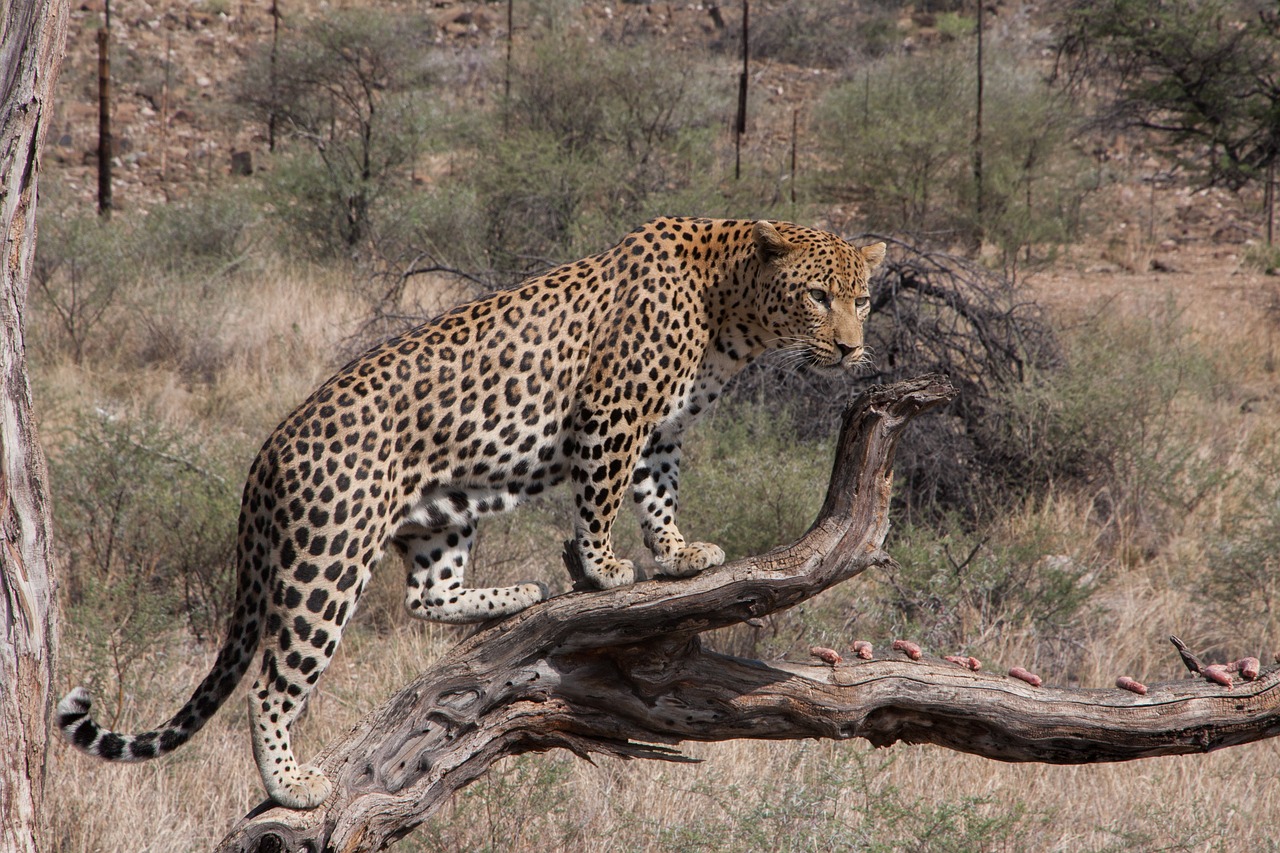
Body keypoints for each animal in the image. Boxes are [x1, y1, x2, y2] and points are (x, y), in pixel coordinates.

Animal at [55, 216, 885, 809]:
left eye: (863, 298)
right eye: (817, 295)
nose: (852, 348)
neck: (730, 310)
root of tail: (268, 449)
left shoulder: (659, 431)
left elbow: (657, 493)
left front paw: (676, 552)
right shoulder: (612, 412)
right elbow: (601, 494)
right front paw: (604, 567)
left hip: (442, 513)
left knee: (428, 594)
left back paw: (516, 594)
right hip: (327, 560)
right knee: (273, 681)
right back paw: (291, 783)